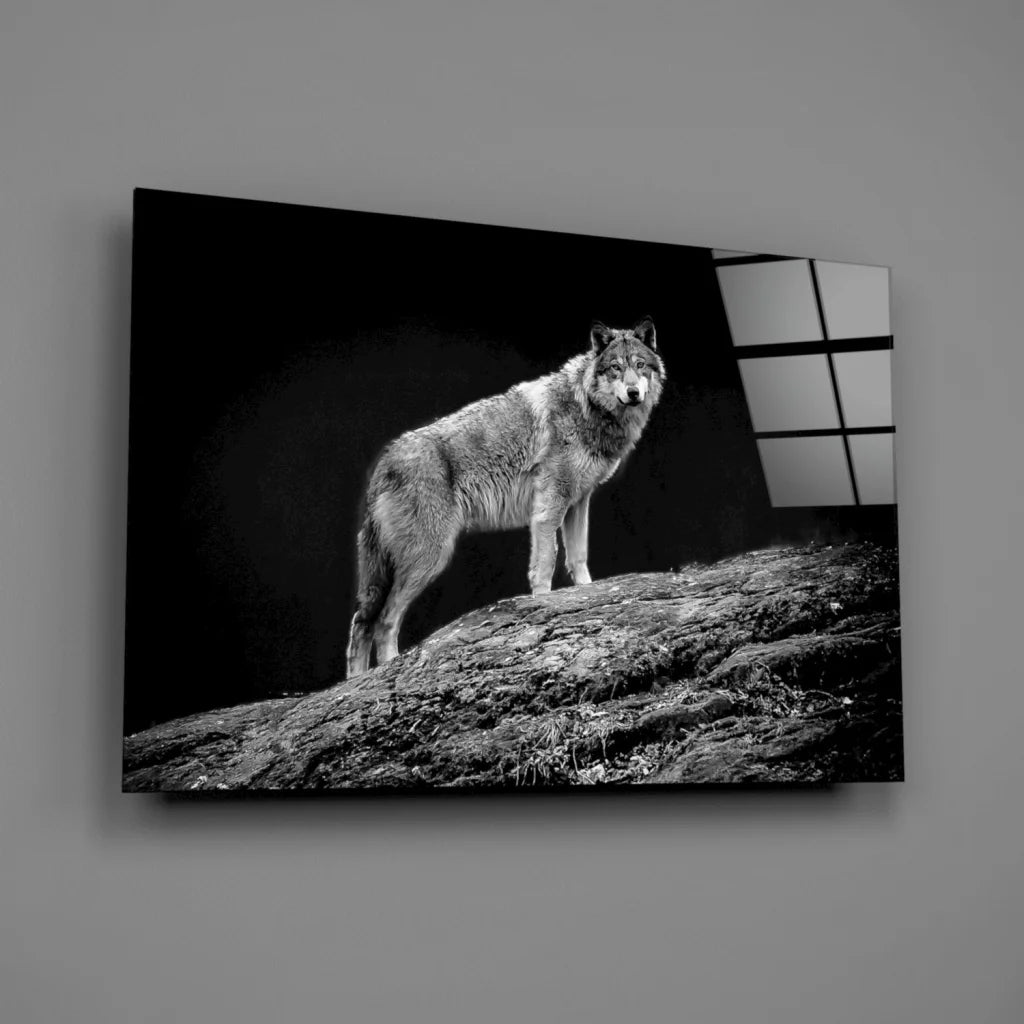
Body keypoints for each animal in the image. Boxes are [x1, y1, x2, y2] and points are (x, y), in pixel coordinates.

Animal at [345, 316, 665, 677]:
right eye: (615, 368)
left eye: (640, 366)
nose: (633, 392)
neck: (585, 406)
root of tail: (383, 463)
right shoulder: (548, 509)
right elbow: (545, 564)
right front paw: (544, 603)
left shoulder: (578, 503)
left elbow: (578, 558)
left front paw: (586, 594)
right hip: (429, 558)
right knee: (383, 621)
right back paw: (385, 670)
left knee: (361, 623)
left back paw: (355, 683)